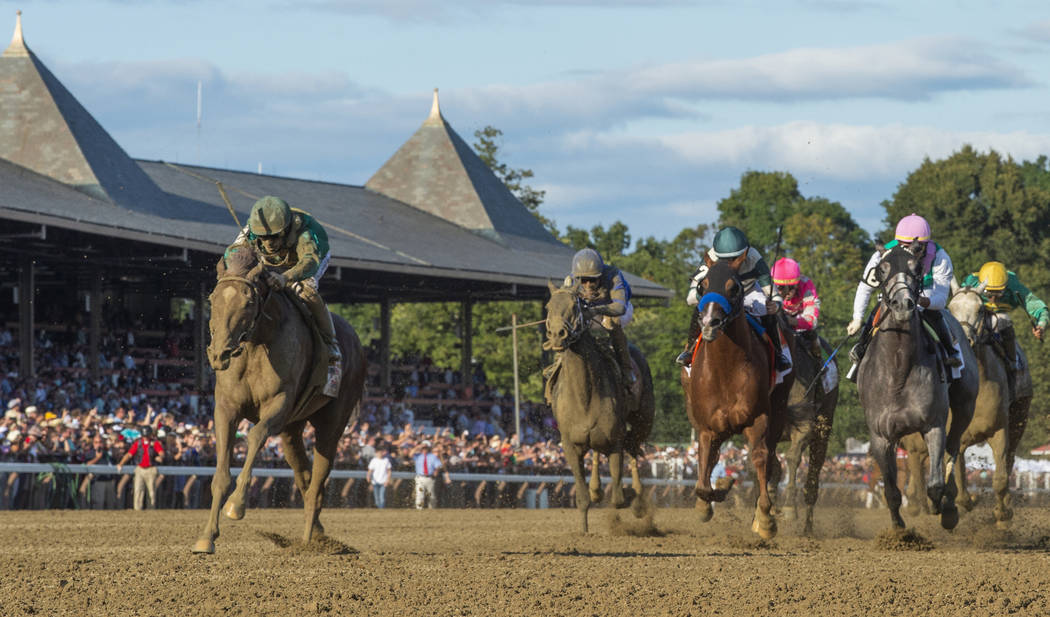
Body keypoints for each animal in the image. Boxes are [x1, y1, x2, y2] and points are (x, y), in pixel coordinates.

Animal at [191, 249, 367, 554]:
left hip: (333, 420)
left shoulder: (280, 404)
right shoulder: (226, 408)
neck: (256, 343)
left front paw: (236, 505)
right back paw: (317, 532)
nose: (218, 353)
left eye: (248, 301)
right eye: (212, 298)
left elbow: (255, 435)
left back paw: (308, 541)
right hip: (292, 430)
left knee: (318, 479)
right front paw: (207, 538)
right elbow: (221, 474)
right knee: (304, 477)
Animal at [546, 281, 651, 535]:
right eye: (548, 306)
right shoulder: (570, 444)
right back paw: (596, 489)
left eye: (574, 306)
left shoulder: (615, 440)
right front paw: (584, 529)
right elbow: (582, 497)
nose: (557, 334)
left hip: (643, 421)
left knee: (634, 449)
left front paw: (630, 503)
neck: (584, 395)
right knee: (598, 453)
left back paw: (639, 499)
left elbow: (618, 498)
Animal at [680, 253, 793, 535]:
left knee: (770, 458)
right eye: (702, 286)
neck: (725, 370)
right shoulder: (707, 427)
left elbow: (760, 459)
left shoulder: (758, 419)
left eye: (734, 288)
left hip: (778, 409)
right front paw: (713, 496)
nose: (709, 323)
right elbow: (703, 474)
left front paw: (764, 518)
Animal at [852, 245, 974, 530]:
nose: (902, 304)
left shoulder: (934, 424)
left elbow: (935, 484)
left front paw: (943, 509)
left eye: (916, 268)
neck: (898, 370)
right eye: (881, 270)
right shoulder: (880, 436)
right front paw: (898, 529)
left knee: (953, 449)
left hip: (964, 406)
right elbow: (891, 490)